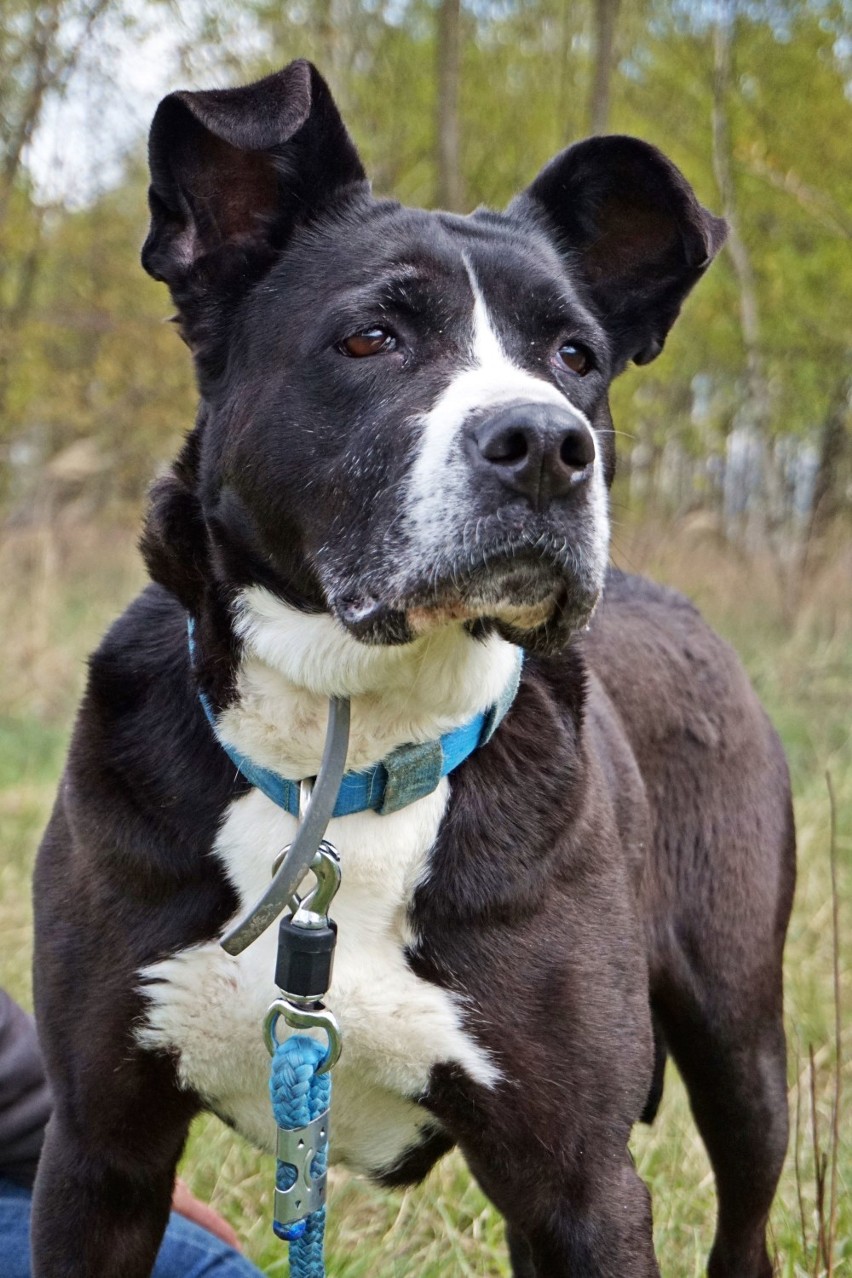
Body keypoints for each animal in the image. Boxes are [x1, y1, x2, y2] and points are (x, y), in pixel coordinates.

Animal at [30, 60, 797, 1278]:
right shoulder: (99, 1153)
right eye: (372, 338)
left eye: (576, 357)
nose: (548, 447)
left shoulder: (581, 1185)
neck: (346, 747)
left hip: (741, 1038)